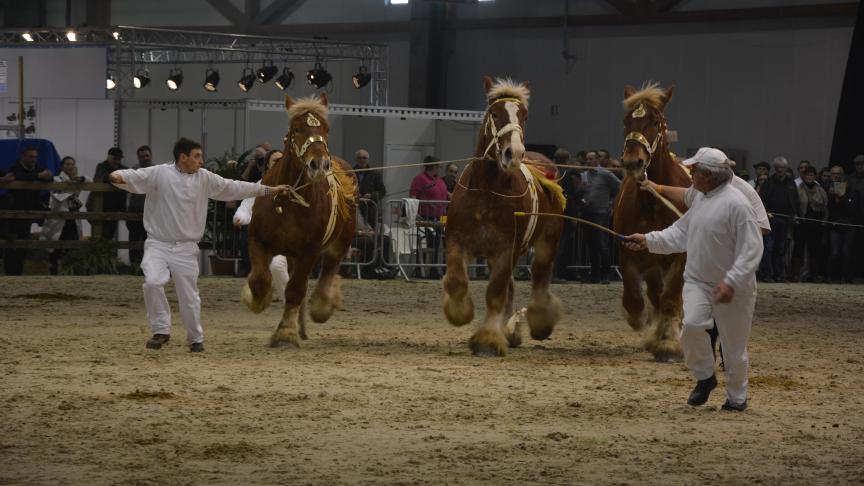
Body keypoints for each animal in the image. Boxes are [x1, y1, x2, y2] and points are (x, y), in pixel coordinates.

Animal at [240, 93, 358, 348]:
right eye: (296, 128)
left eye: (326, 128)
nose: (319, 164)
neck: (288, 199)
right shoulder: (258, 240)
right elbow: (260, 280)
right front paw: (255, 299)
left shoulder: (309, 251)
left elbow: (295, 290)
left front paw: (285, 332)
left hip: (339, 243)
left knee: (328, 271)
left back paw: (322, 306)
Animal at [446, 77, 568, 356]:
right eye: (495, 113)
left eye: (524, 115)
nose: (514, 152)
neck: (486, 191)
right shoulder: (458, 242)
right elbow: (457, 281)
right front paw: (460, 312)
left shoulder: (506, 248)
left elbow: (495, 292)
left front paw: (489, 338)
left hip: (547, 242)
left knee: (539, 276)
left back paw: (537, 322)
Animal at [612, 81, 692, 360]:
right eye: (626, 121)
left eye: (656, 122)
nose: (632, 162)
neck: (655, 204)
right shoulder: (629, 250)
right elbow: (634, 300)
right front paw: (645, 324)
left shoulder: (680, 257)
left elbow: (671, 299)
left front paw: (668, 343)